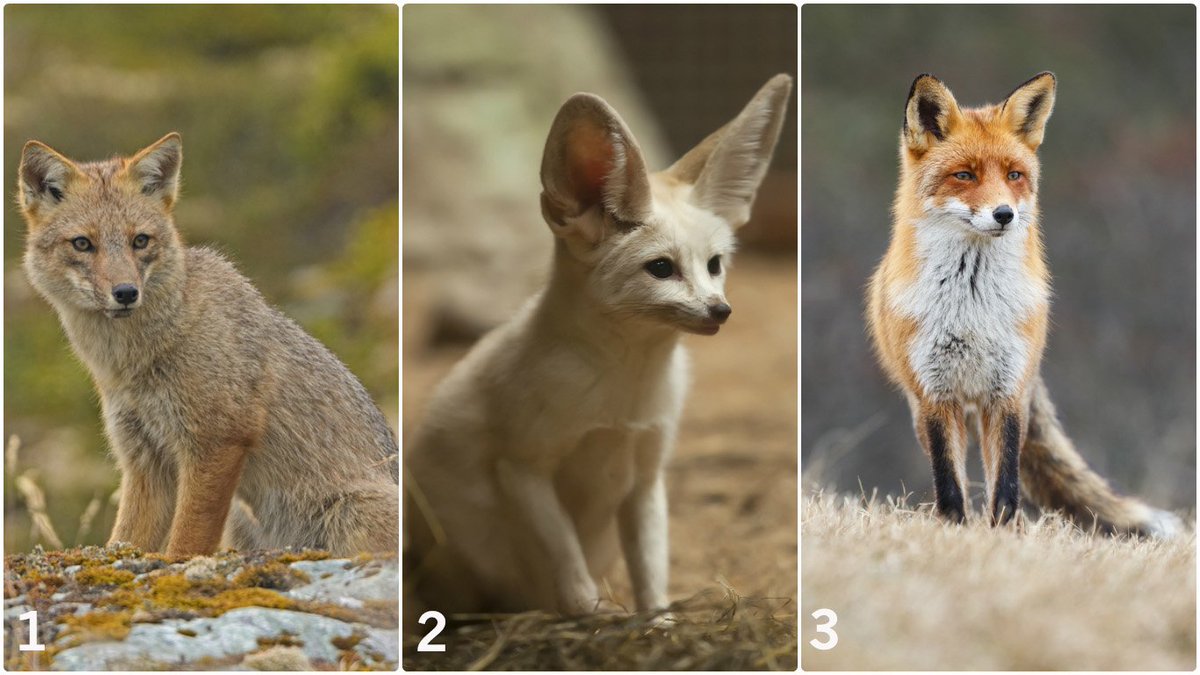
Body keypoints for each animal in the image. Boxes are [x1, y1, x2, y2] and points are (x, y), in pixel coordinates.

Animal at [17, 133, 399, 557]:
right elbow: (126, 538)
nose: (126, 293)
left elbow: (187, 540)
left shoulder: (216, 442)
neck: (131, 363)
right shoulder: (143, 458)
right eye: (83, 244)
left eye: (140, 241)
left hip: (350, 513)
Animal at [404, 75, 792, 615]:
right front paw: (590, 614)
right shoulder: (522, 467)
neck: (622, 397)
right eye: (660, 268)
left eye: (714, 265)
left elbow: (650, 568)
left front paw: (657, 622)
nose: (721, 310)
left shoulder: (645, 476)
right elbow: (567, 559)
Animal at [867, 72, 1180, 536]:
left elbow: (1007, 484)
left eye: (1014, 174)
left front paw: (1004, 534)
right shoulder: (935, 394)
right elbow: (950, 484)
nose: (1004, 214)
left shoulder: (1008, 390)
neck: (972, 307)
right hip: (927, 409)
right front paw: (955, 531)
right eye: (964, 174)